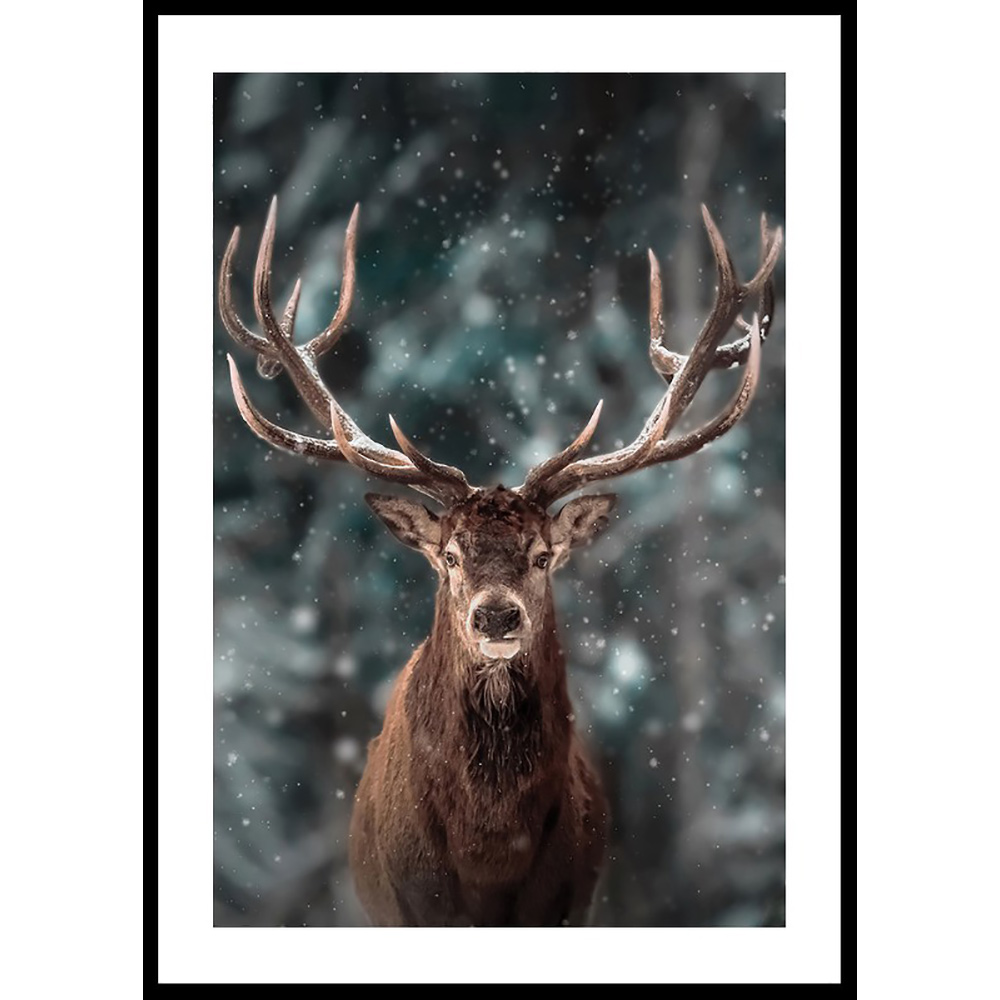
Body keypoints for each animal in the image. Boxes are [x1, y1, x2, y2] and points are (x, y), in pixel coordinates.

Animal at [218, 196, 782, 926]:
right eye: (451, 555)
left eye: (542, 556)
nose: (495, 618)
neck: (489, 856)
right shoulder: (410, 907)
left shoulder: (568, 903)